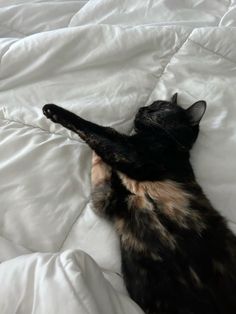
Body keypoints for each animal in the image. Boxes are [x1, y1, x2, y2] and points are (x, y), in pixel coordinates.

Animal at [42, 94, 236, 314]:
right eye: (151, 104)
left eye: (160, 107)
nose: (142, 108)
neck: (172, 145)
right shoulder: (105, 197)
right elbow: (99, 161)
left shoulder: (134, 155)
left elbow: (101, 130)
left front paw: (53, 110)